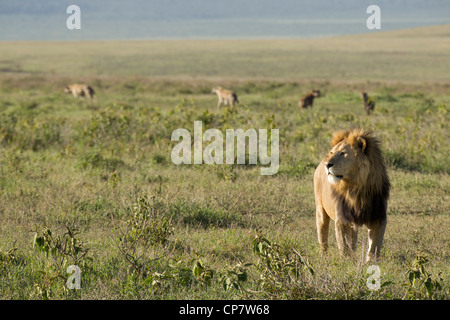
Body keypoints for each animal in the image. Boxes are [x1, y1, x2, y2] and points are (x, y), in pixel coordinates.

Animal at [312, 128, 390, 262]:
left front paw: (371, 263)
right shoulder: (342, 218)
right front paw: (346, 263)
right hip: (321, 211)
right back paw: (324, 258)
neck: (357, 187)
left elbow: (374, 246)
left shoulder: (379, 217)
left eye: (343, 153)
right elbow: (344, 245)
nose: (327, 164)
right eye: (332, 152)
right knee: (323, 236)